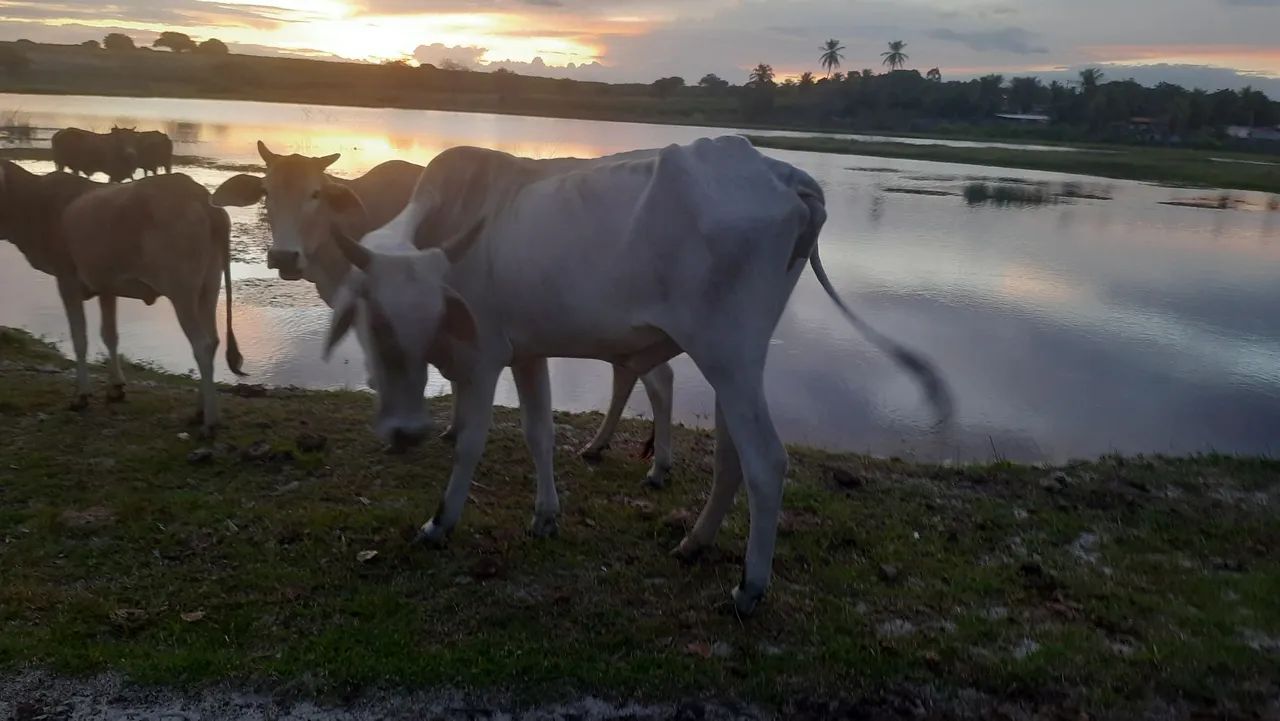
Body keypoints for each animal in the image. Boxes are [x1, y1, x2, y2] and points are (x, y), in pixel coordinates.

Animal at [0, 161, 245, 432]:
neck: (35, 202)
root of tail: (202, 198)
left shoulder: (67, 280)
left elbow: (80, 338)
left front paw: (81, 396)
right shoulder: (107, 286)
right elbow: (110, 335)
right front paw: (116, 388)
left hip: (182, 292)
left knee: (201, 345)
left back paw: (210, 421)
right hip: (208, 289)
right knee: (212, 341)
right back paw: (199, 412)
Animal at [211, 142, 676, 486]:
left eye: (315, 193)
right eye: (267, 193)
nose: (283, 256)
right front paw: (451, 428)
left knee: (660, 381)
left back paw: (657, 468)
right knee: (630, 376)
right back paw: (600, 446)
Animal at [319, 137, 952, 614]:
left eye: (427, 319)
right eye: (373, 321)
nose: (404, 433)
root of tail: (782, 173)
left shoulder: (483, 358)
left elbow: (472, 443)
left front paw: (440, 523)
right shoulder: (527, 353)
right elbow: (538, 433)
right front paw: (545, 516)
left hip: (728, 355)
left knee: (766, 462)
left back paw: (750, 587)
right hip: (735, 363)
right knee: (731, 457)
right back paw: (695, 543)